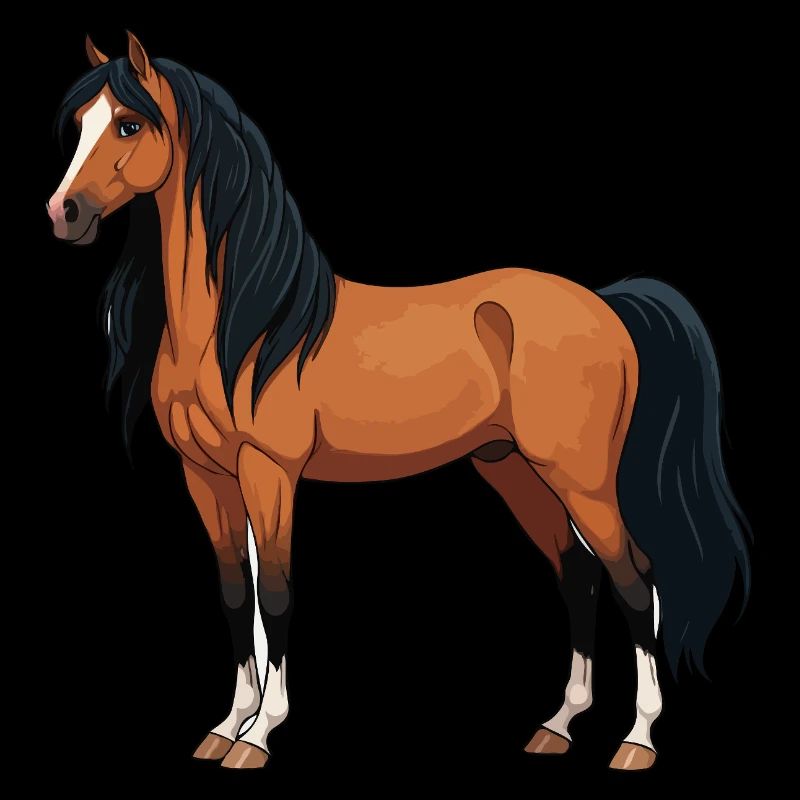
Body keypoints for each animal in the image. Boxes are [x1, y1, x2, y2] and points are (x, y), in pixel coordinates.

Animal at [47, 33, 750, 771]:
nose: (63, 214)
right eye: (82, 123)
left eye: (129, 125)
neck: (249, 323)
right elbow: (237, 597)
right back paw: (557, 726)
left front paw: (260, 735)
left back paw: (637, 739)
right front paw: (225, 726)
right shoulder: (206, 476)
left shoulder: (271, 473)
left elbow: (278, 595)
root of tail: (604, 305)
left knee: (635, 578)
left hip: (581, 478)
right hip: (512, 469)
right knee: (578, 574)